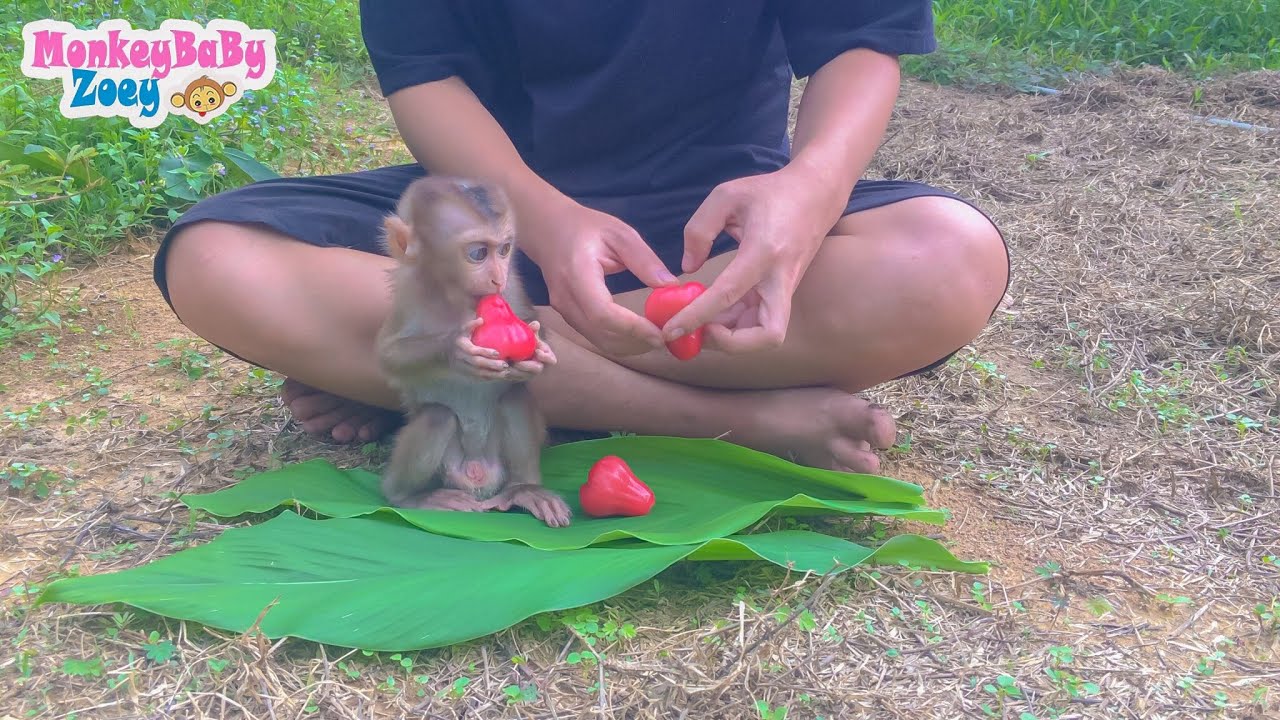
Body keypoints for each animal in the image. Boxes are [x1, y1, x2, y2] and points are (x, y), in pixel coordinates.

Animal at [374, 176, 572, 527]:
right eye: (478, 253)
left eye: (505, 249)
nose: (497, 278)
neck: (454, 298)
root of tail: (478, 476)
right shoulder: (409, 291)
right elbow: (388, 356)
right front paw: (454, 349)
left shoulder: (512, 285)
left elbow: (528, 319)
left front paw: (539, 353)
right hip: (448, 469)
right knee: (437, 418)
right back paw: (409, 496)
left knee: (514, 397)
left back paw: (524, 489)